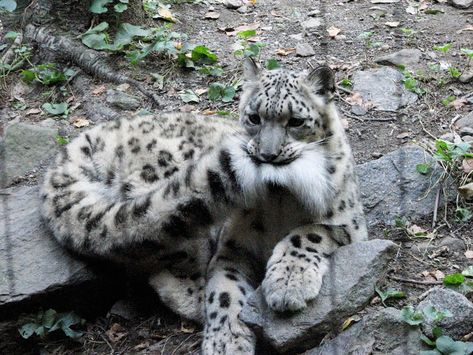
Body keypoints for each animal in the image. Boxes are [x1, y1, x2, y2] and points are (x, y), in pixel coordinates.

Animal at [39, 59, 366, 354]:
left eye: (296, 121)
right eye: (254, 117)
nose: (267, 154)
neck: (279, 199)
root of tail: (82, 141)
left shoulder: (351, 224)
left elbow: (309, 231)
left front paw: (287, 285)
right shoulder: (233, 248)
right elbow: (224, 291)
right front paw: (225, 341)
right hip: (173, 205)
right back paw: (198, 299)